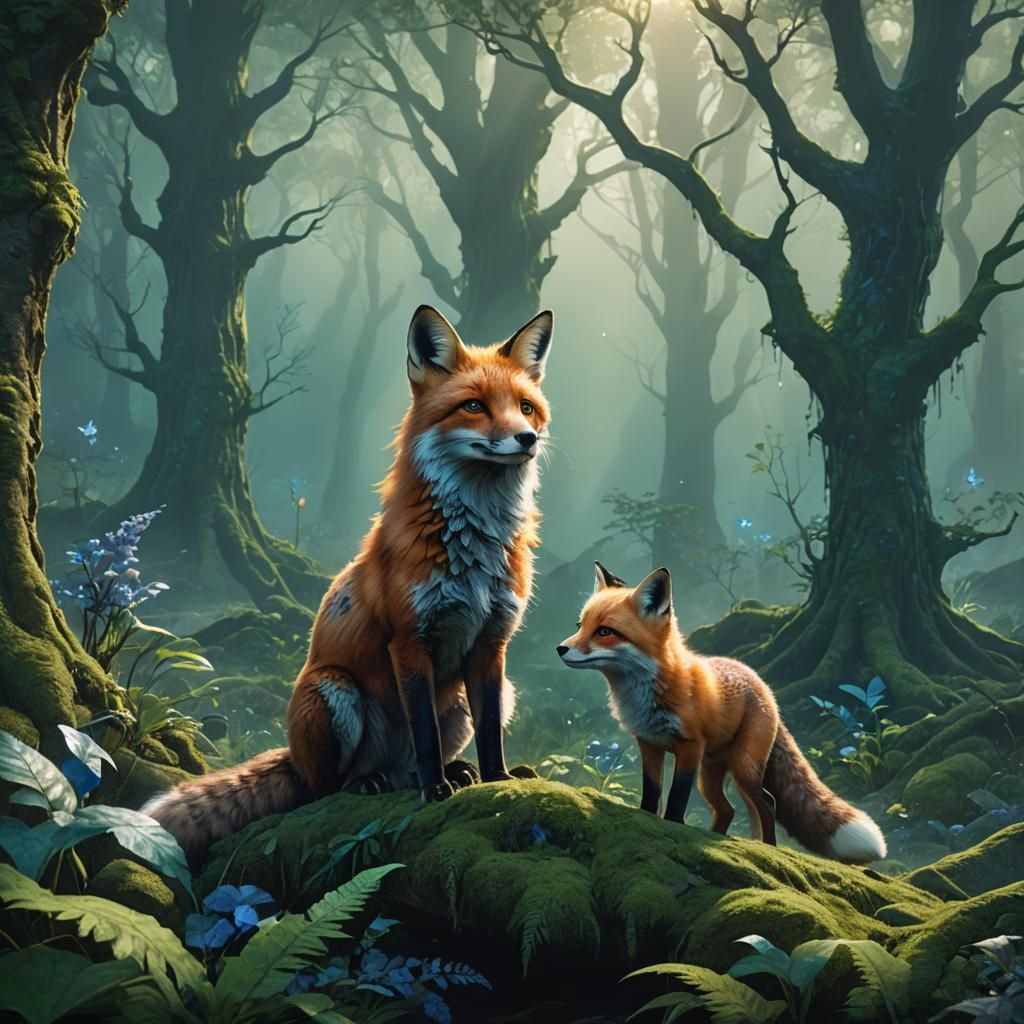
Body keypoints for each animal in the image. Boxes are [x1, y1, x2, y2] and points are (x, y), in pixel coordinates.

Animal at [144, 304, 554, 865]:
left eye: (526, 408)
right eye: (473, 406)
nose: (526, 439)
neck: (474, 546)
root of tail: (294, 754)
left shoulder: (492, 643)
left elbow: (491, 730)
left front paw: (498, 778)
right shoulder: (409, 639)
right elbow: (423, 733)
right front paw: (434, 789)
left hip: (474, 697)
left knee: (411, 763)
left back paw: (453, 772)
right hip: (334, 690)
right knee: (324, 790)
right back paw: (370, 783)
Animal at [556, 562, 887, 865]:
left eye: (605, 631)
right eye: (579, 626)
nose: (560, 648)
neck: (648, 692)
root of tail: (762, 683)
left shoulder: (689, 747)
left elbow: (676, 798)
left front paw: (674, 828)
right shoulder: (649, 743)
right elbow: (652, 794)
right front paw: (646, 820)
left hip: (743, 767)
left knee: (767, 804)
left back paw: (767, 848)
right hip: (711, 774)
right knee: (728, 809)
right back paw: (719, 839)